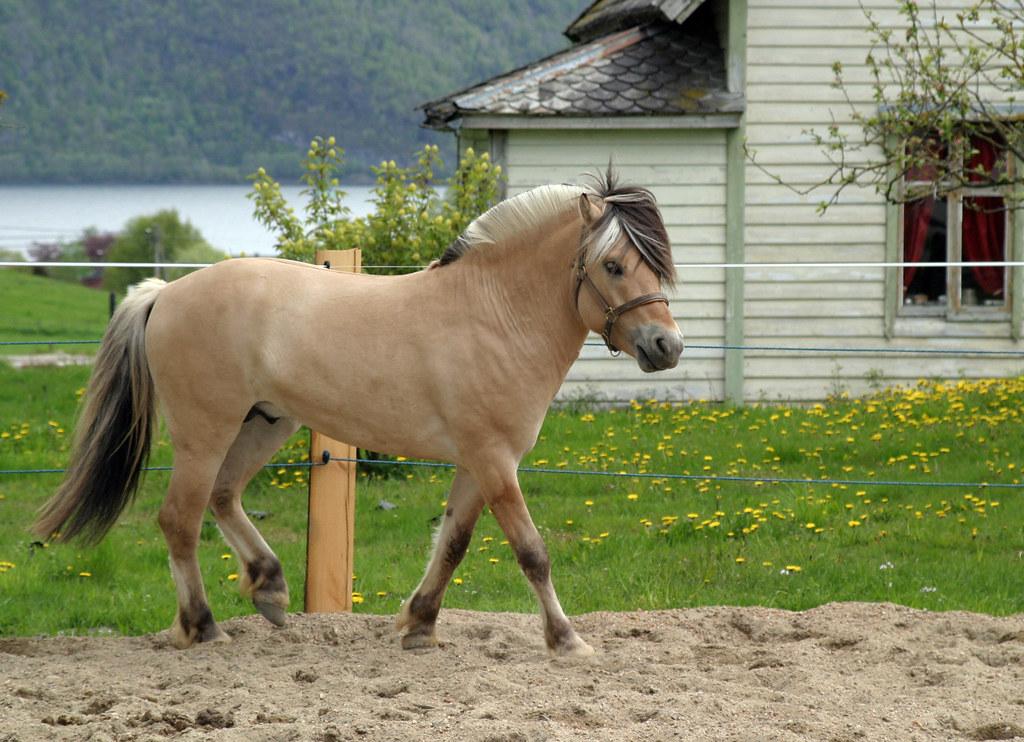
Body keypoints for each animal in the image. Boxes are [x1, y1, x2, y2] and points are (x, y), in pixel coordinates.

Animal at [36, 167, 684, 655]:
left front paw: (419, 624)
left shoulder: (478, 463)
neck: (493, 314)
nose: (666, 346)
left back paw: (270, 590)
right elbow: (532, 552)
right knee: (180, 519)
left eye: (658, 263)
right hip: (205, 432)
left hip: (266, 423)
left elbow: (452, 543)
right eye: (613, 265)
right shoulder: (496, 461)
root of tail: (164, 293)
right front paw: (567, 640)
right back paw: (203, 626)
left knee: (223, 498)